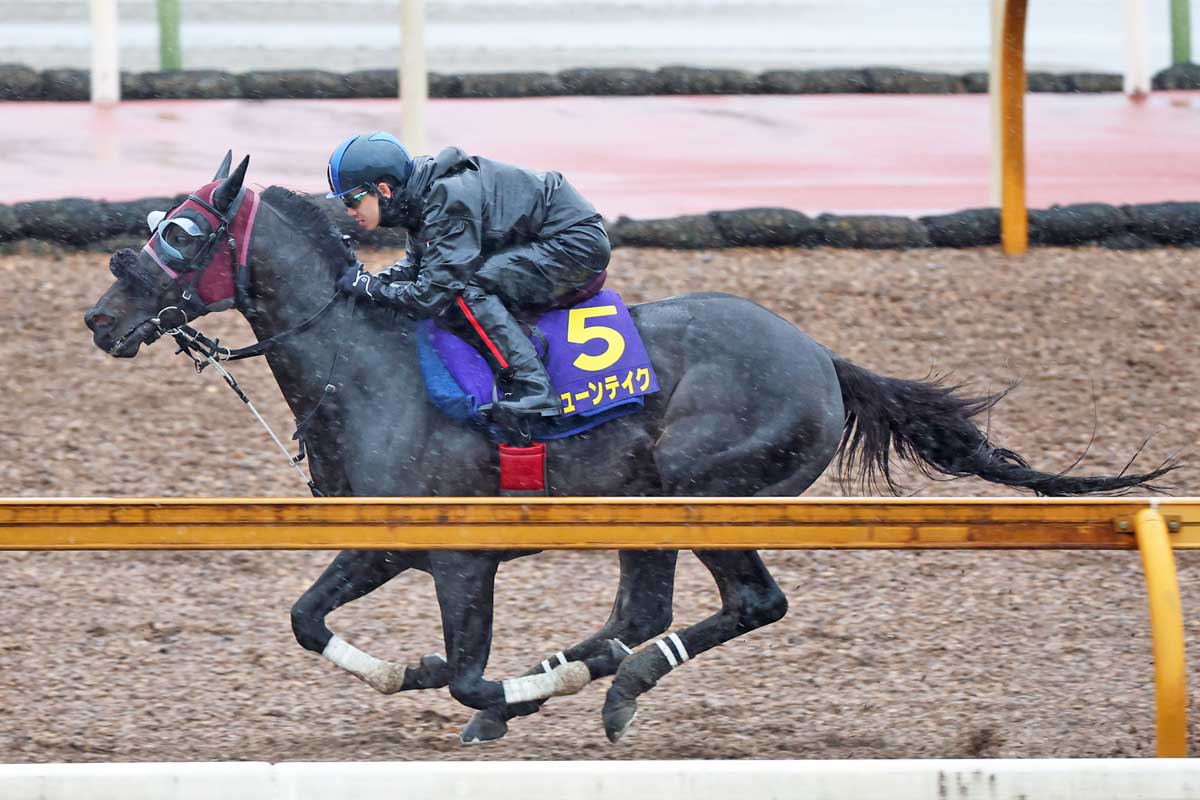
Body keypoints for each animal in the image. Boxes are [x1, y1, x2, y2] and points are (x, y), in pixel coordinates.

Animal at [83, 154, 1173, 745]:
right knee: (642, 609)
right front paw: (419, 674)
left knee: (747, 603)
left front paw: (504, 689)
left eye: (181, 233)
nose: (100, 315)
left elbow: (467, 669)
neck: (372, 360)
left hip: (707, 486)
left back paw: (613, 685)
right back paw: (593, 671)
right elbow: (308, 619)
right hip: (645, 504)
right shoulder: (381, 540)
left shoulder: (460, 554)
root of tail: (820, 355)